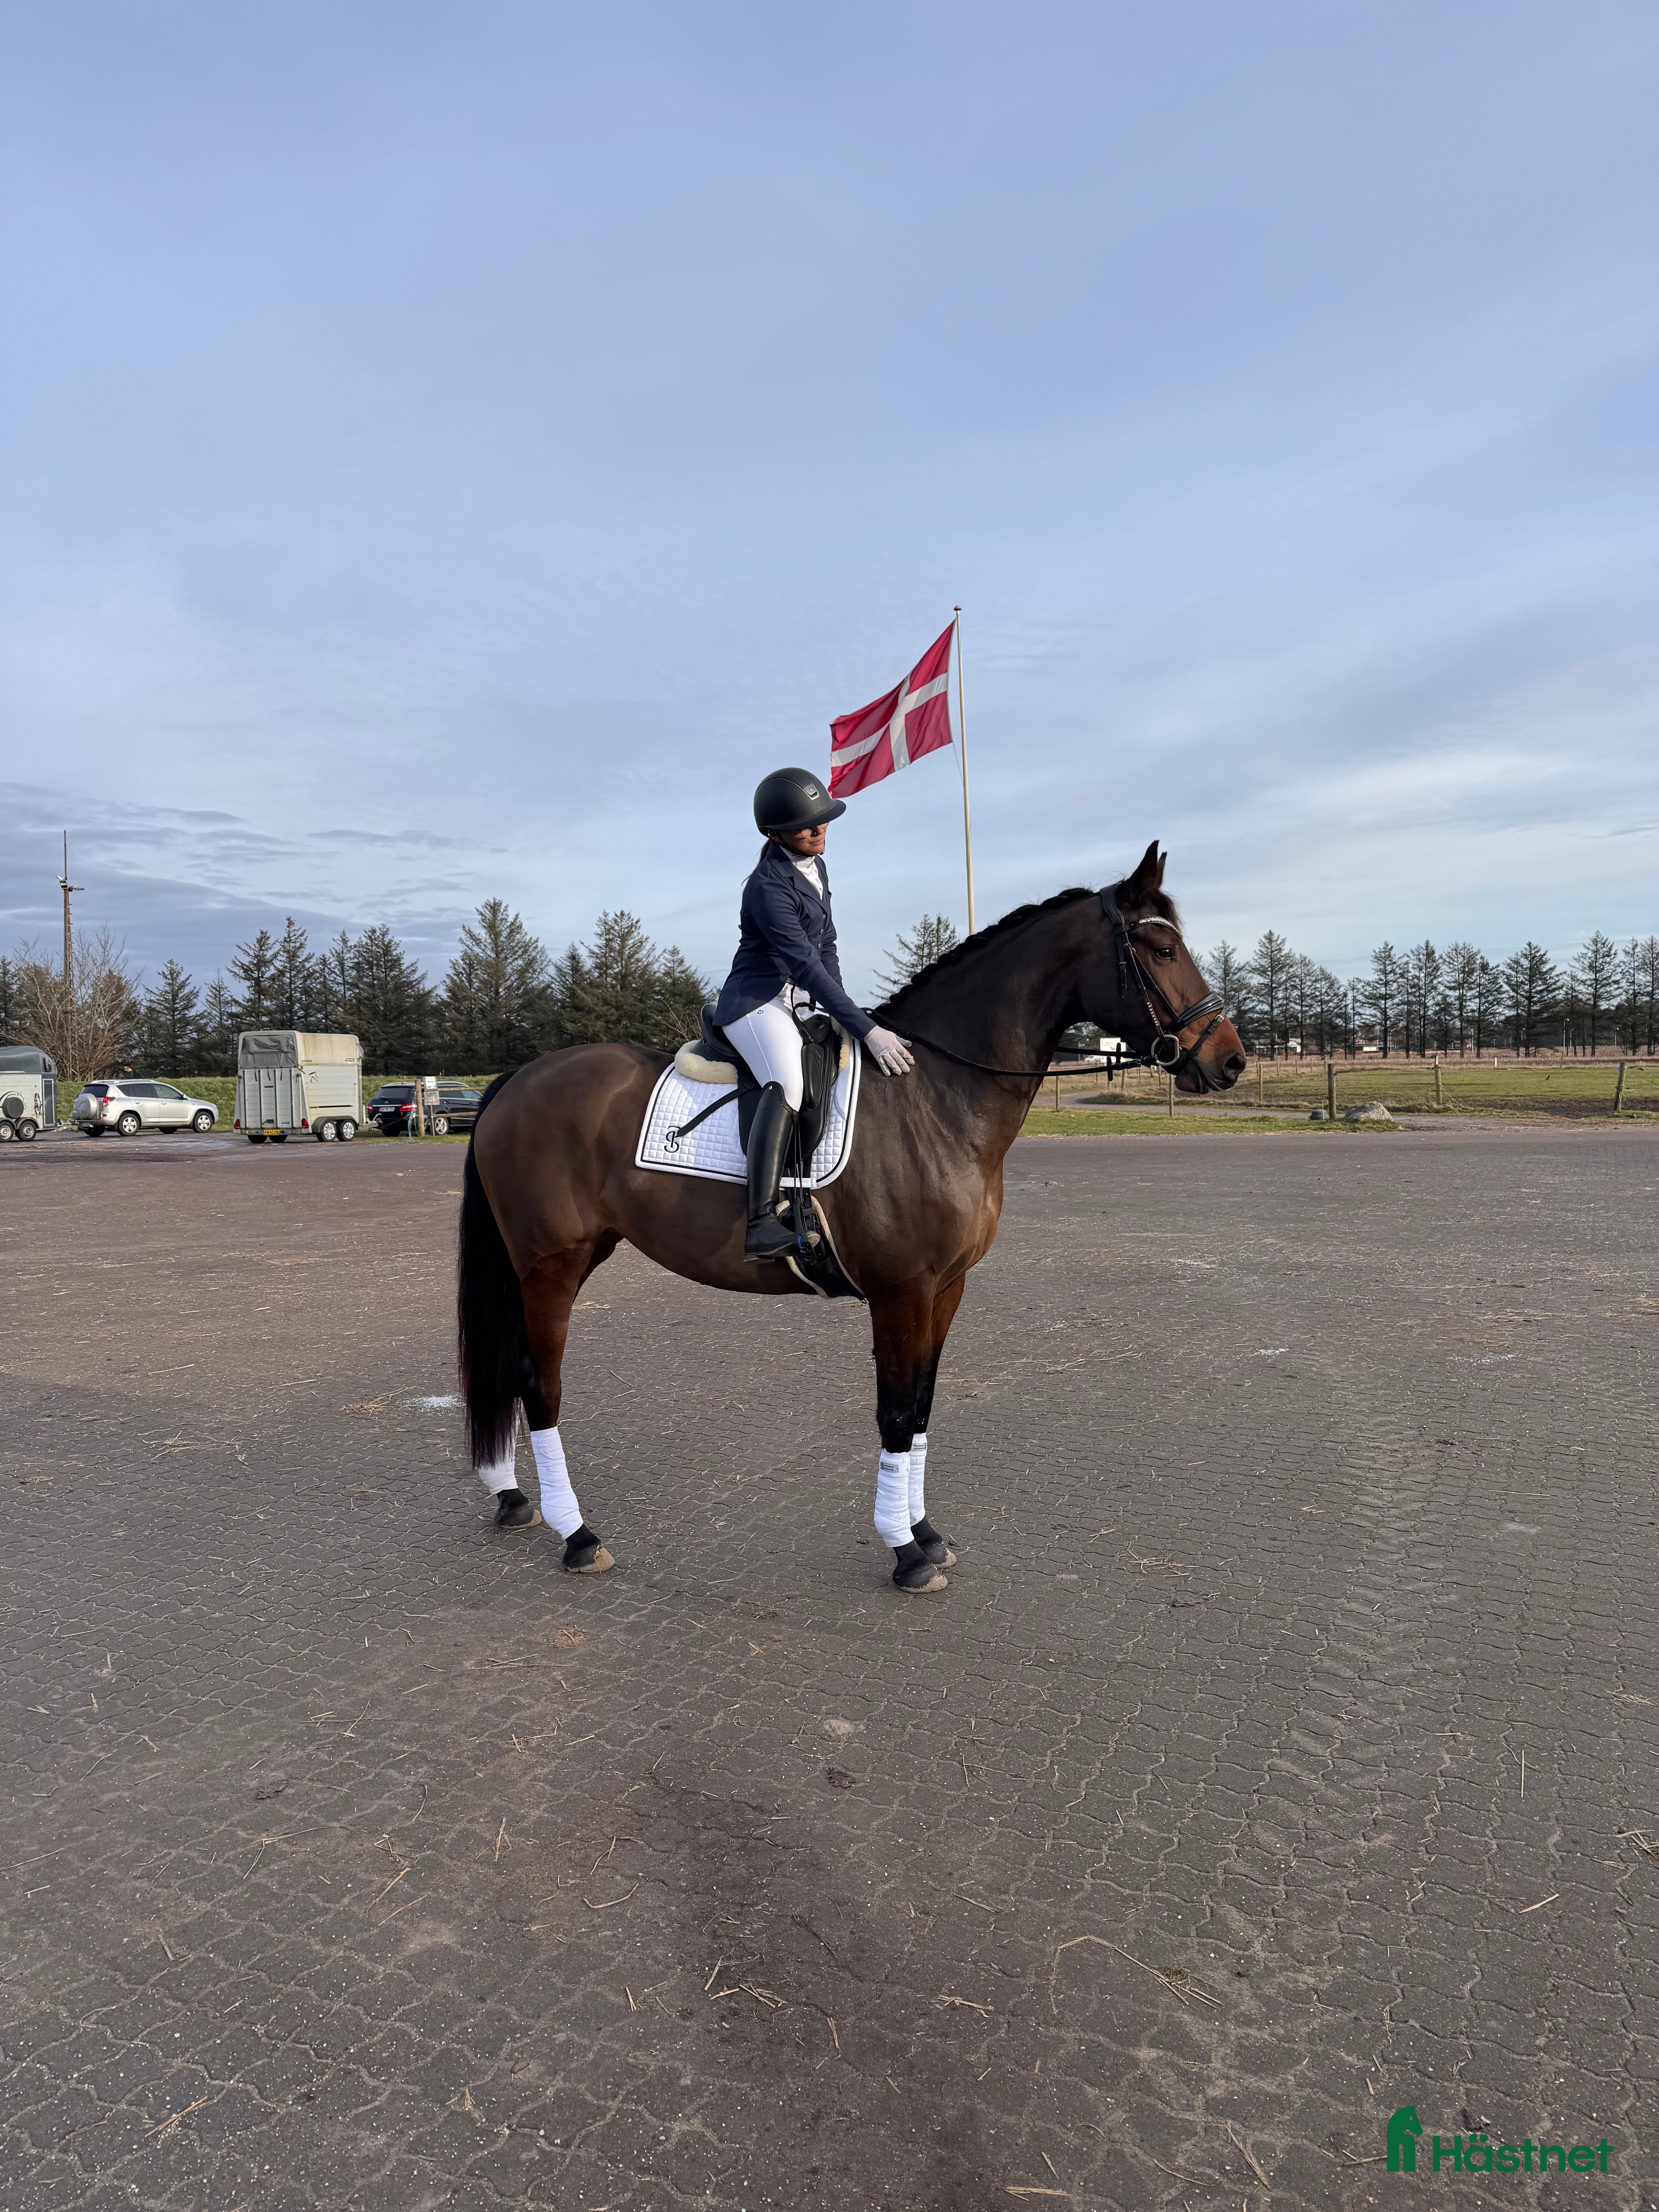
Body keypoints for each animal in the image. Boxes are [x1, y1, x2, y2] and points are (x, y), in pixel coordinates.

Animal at [457, 840, 1246, 1592]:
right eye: (1162, 950)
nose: (1231, 1061)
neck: (935, 1093)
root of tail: (518, 1079)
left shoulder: (946, 1287)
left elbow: (921, 1407)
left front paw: (925, 1533)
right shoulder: (902, 1290)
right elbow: (895, 1412)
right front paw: (905, 1553)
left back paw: (513, 1498)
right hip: (552, 1265)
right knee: (539, 1383)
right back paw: (577, 1536)